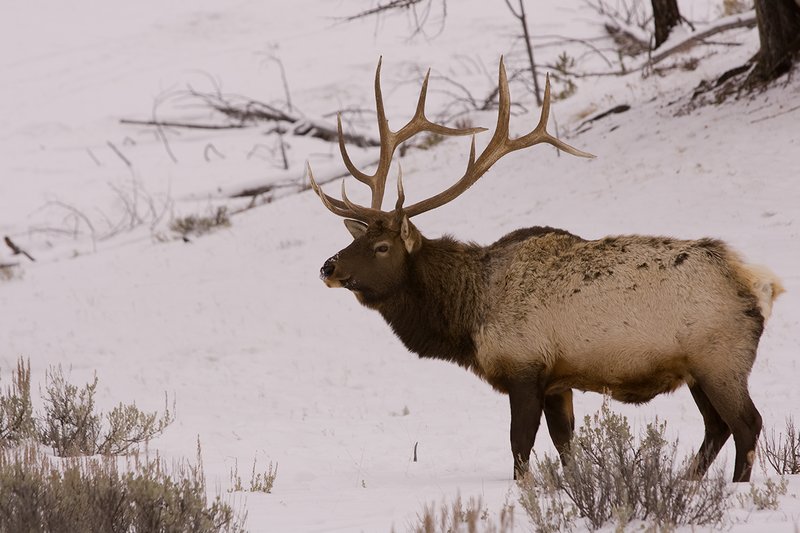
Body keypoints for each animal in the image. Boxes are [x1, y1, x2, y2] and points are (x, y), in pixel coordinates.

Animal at [307, 58, 783, 483]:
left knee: (746, 424)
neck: (469, 317)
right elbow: (565, 446)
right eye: (356, 239)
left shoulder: (524, 365)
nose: (328, 266)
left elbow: (520, 448)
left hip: (720, 358)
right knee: (717, 428)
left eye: (382, 246)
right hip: (699, 369)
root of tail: (759, 284)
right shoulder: (558, 380)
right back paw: (686, 482)